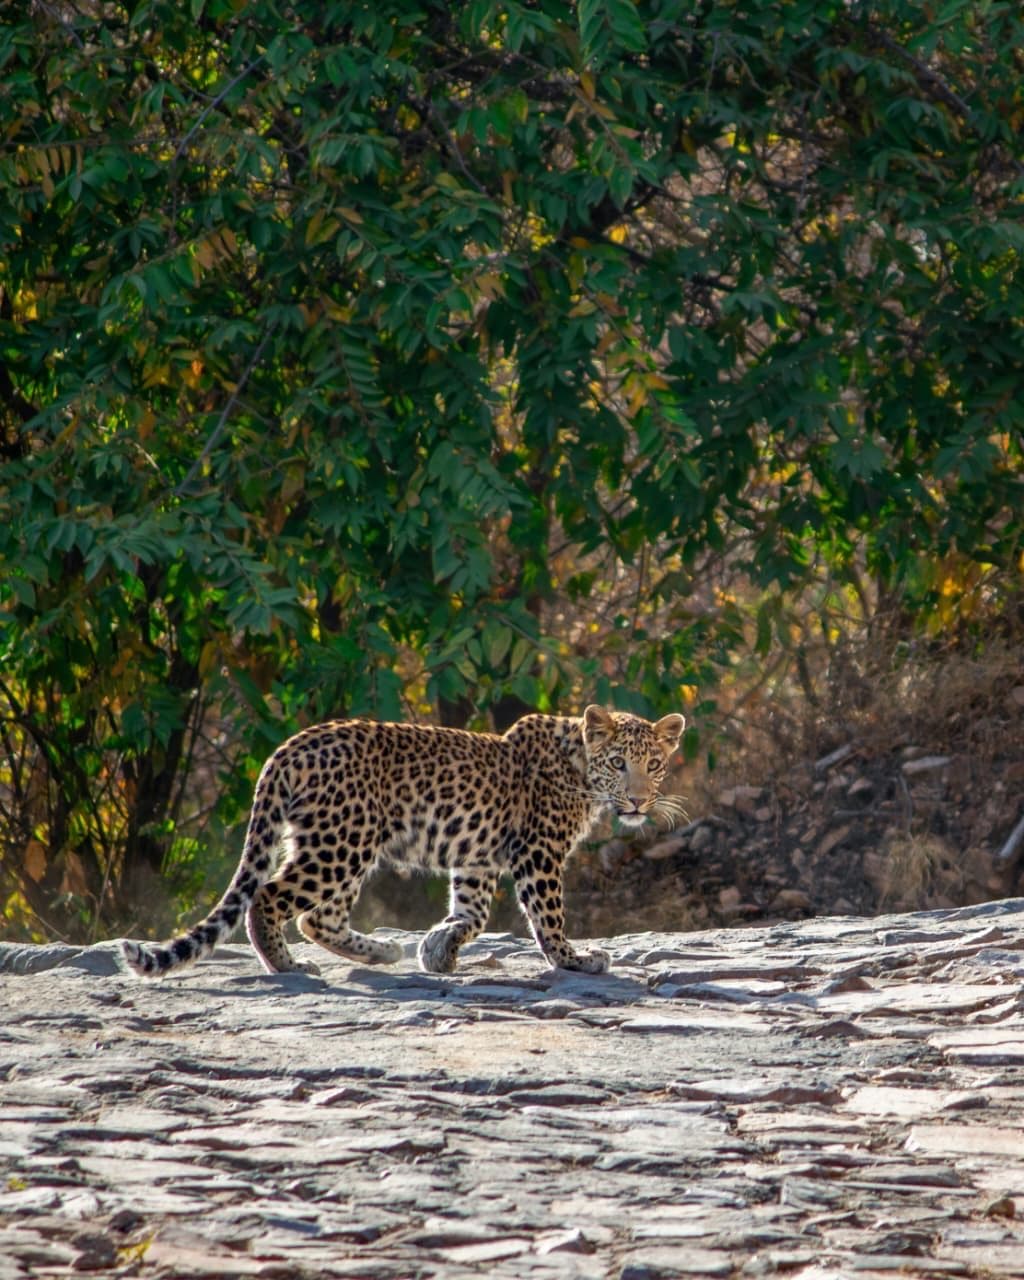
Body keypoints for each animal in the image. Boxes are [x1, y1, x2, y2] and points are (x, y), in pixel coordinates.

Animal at [121, 704, 685, 981]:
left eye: (654, 764)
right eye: (619, 763)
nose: (638, 802)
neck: (581, 768)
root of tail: (288, 747)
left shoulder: (478, 858)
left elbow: (472, 913)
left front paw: (438, 951)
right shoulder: (538, 852)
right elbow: (548, 917)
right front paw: (574, 960)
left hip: (339, 843)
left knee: (316, 916)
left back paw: (381, 951)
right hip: (341, 843)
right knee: (271, 898)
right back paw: (286, 966)